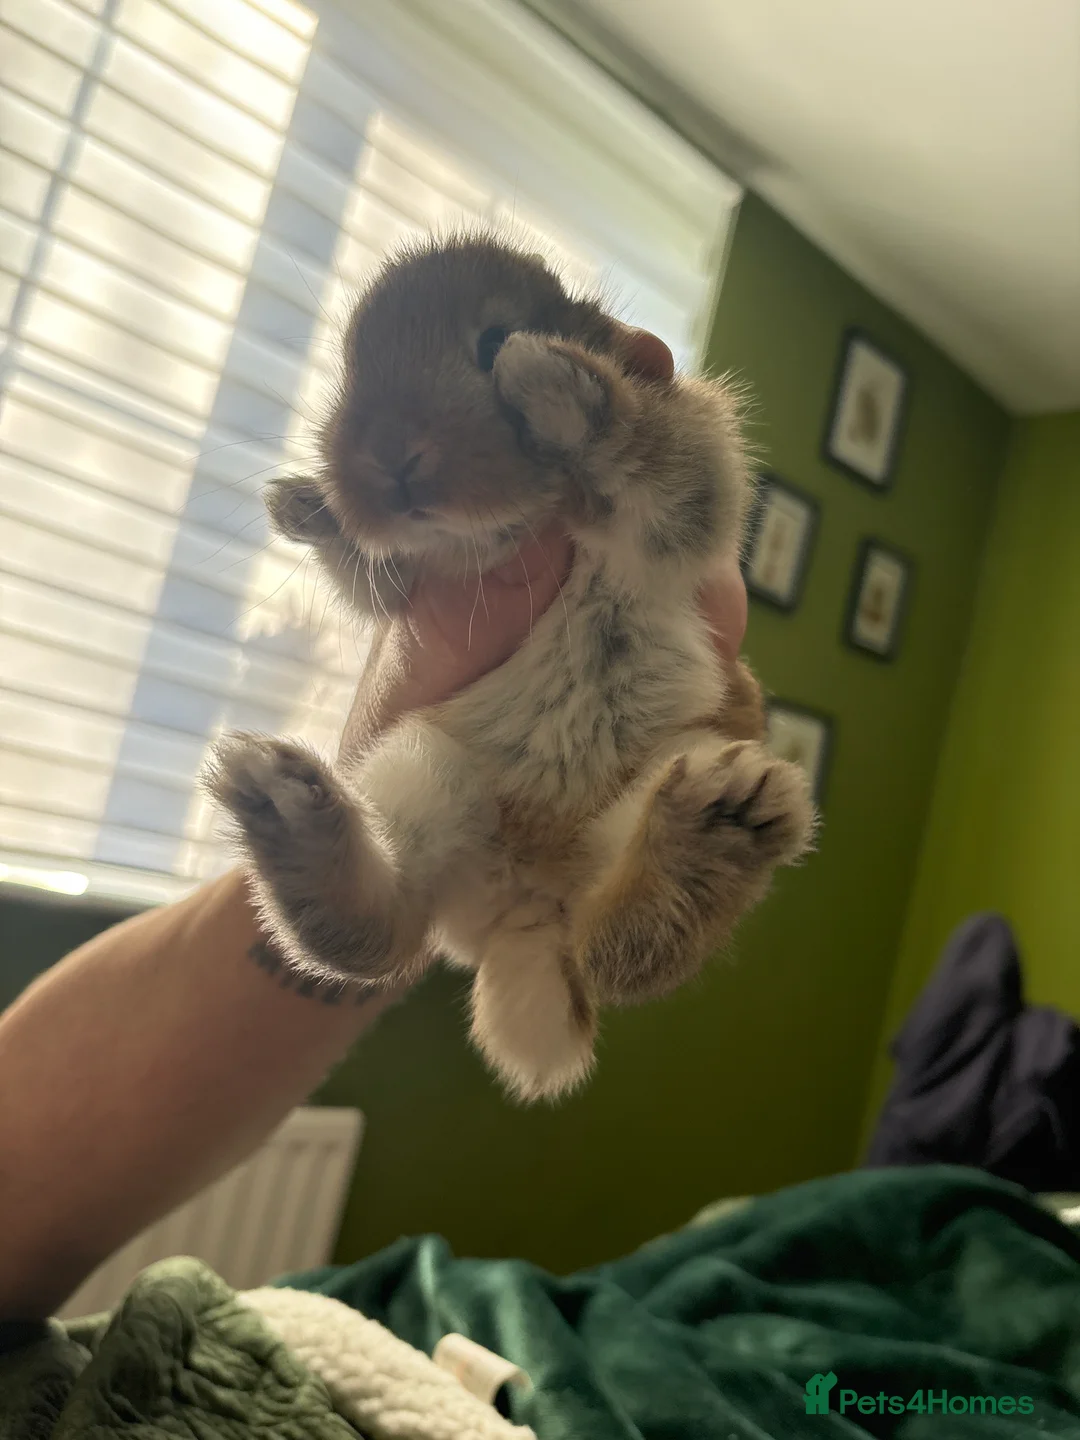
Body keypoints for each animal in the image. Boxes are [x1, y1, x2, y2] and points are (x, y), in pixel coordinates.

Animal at [207, 234, 816, 1102]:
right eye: (350, 367)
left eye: (490, 340)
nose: (389, 459)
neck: (506, 528)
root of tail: (530, 908)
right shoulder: (409, 587)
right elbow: (365, 577)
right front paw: (302, 507)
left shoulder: (686, 489)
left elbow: (653, 458)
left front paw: (548, 379)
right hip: (426, 772)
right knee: (379, 931)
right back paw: (284, 804)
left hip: (672, 758)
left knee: (617, 952)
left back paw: (719, 823)